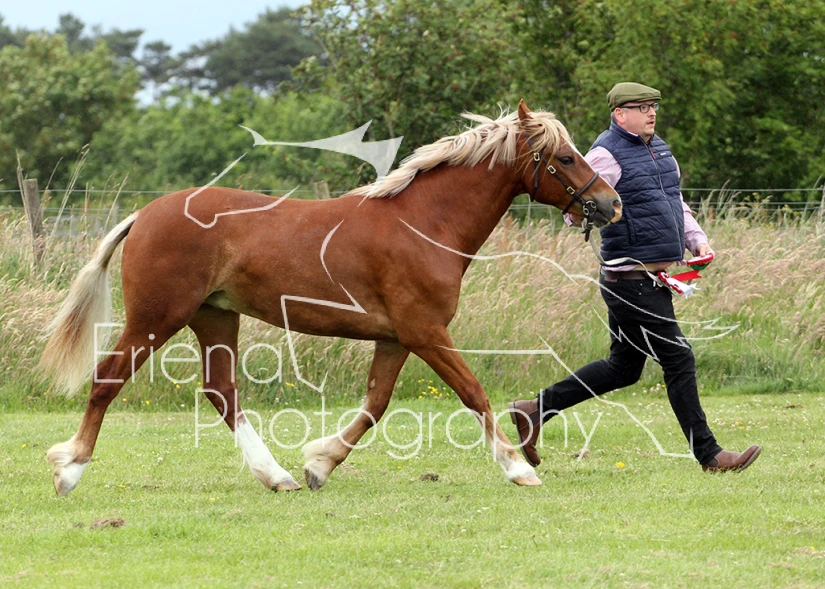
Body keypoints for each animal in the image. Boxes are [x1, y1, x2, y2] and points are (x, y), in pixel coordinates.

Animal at [40, 100, 621, 496]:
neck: (424, 224)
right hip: (158, 317)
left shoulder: (398, 338)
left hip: (214, 319)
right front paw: (520, 468)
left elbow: (376, 404)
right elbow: (473, 393)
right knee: (108, 378)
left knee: (222, 392)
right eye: (566, 157)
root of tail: (145, 214)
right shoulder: (427, 332)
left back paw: (277, 477)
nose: (610, 203)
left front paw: (319, 465)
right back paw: (69, 469)